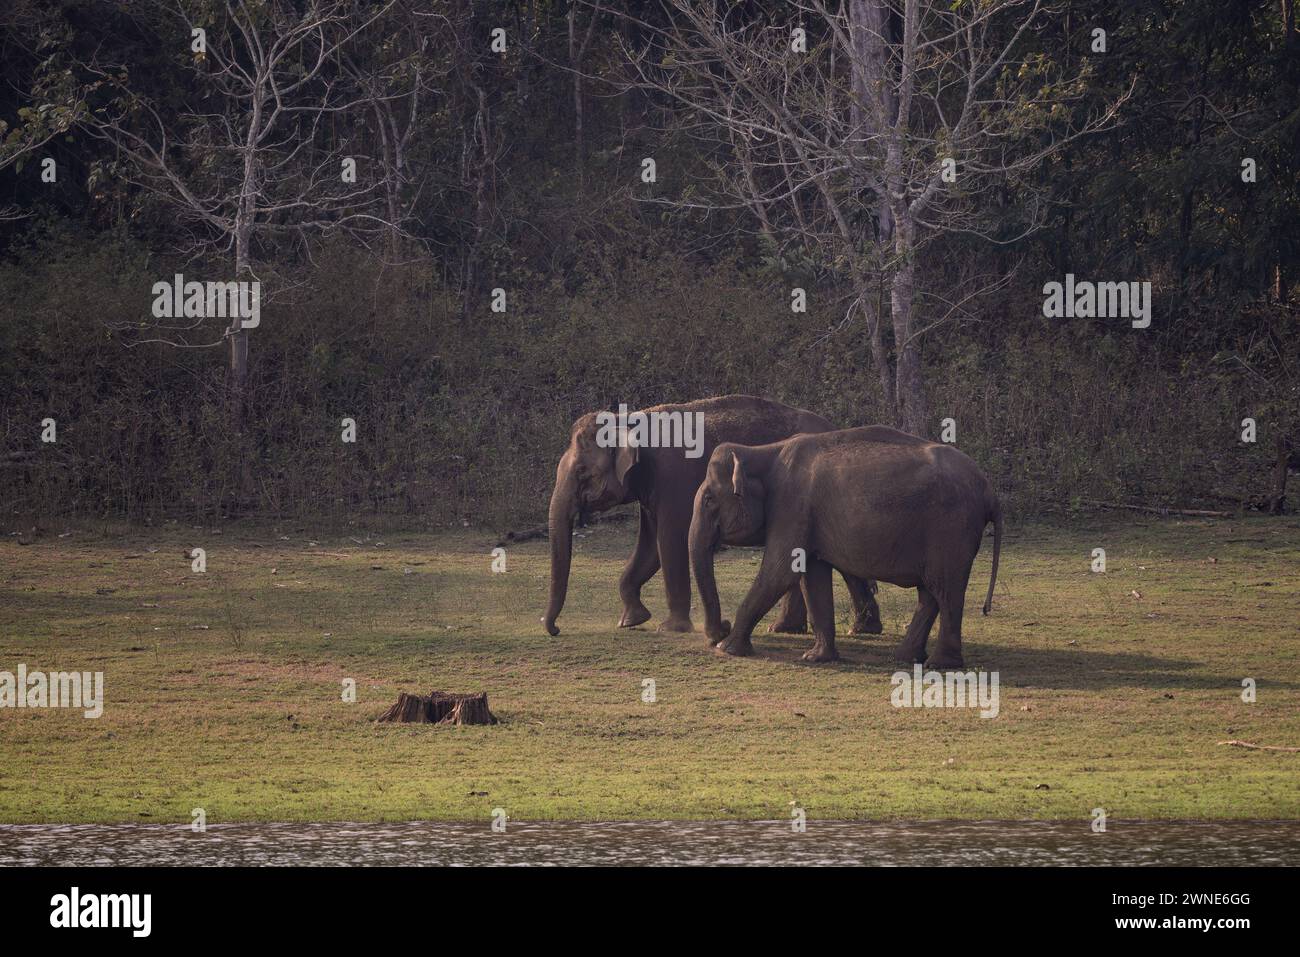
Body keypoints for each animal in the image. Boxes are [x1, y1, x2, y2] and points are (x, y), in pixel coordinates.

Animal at [538, 392, 883, 639]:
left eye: (582, 472)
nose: (554, 628)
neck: (631, 420)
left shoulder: (672, 478)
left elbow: (669, 542)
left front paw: (669, 628)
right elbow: (649, 549)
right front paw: (631, 620)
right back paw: (808, 629)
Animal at [691, 423, 1003, 665]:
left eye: (709, 499)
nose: (721, 628)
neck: (762, 450)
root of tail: (989, 489)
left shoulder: (792, 507)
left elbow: (779, 572)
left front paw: (727, 649)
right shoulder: (805, 516)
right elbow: (811, 575)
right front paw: (816, 658)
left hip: (951, 529)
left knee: (945, 590)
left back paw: (939, 664)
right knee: (930, 594)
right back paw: (904, 657)